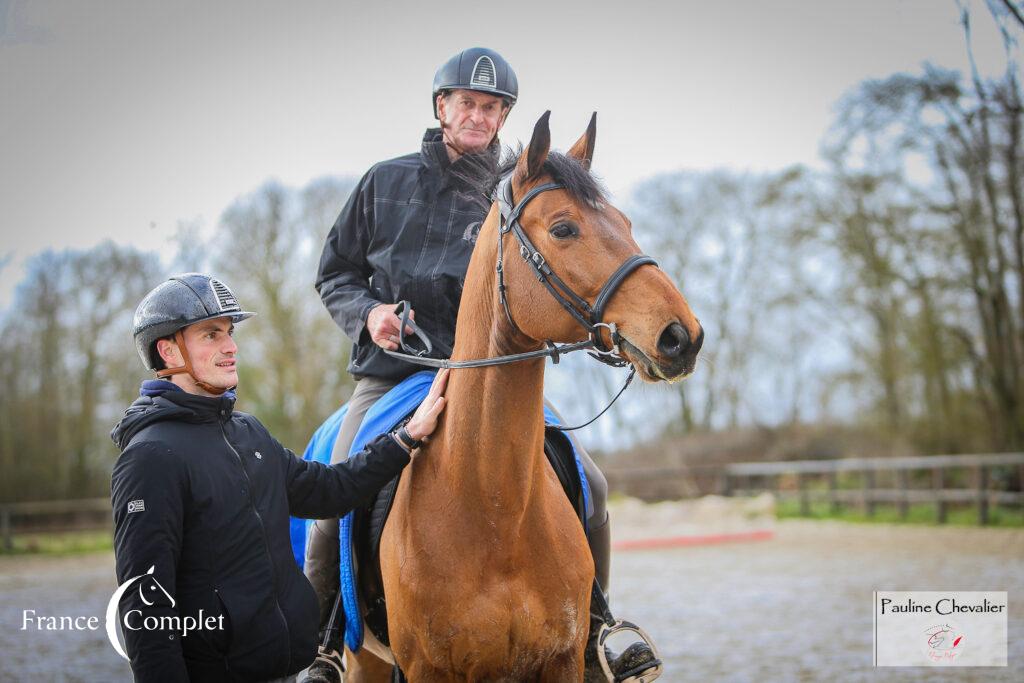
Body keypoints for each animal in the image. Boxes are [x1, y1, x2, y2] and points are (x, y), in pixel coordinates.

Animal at [348, 113, 700, 683]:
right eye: (563, 228)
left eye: (624, 222)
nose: (681, 336)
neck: (495, 511)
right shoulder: (427, 669)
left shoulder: (560, 660)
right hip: (363, 659)